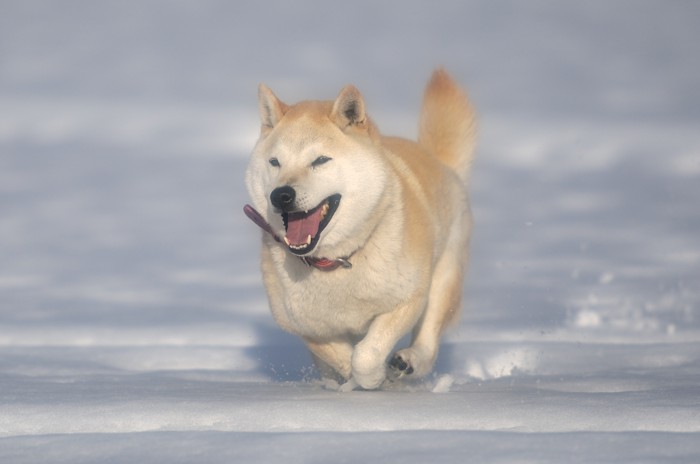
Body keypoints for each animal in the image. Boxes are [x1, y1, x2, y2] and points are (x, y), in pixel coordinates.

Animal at [245, 67, 476, 390]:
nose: (281, 195)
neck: (338, 261)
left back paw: (407, 362)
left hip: (444, 277)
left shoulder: (408, 299)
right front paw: (362, 380)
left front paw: (376, 378)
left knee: (428, 342)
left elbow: (367, 354)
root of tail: (435, 159)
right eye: (275, 162)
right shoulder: (304, 325)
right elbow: (342, 357)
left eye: (320, 160)